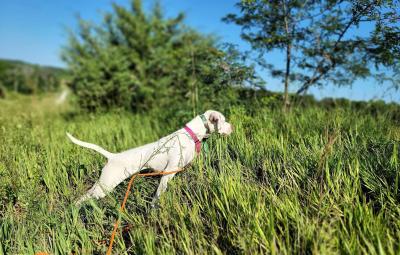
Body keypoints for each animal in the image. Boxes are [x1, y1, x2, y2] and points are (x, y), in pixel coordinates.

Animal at [67, 109, 233, 205]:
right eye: (224, 121)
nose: (232, 127)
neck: (191, 135)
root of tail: (112, 156)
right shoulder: (168, 172)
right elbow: (158, 195)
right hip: (105, 187)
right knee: (81, 199)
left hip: (102, 185)